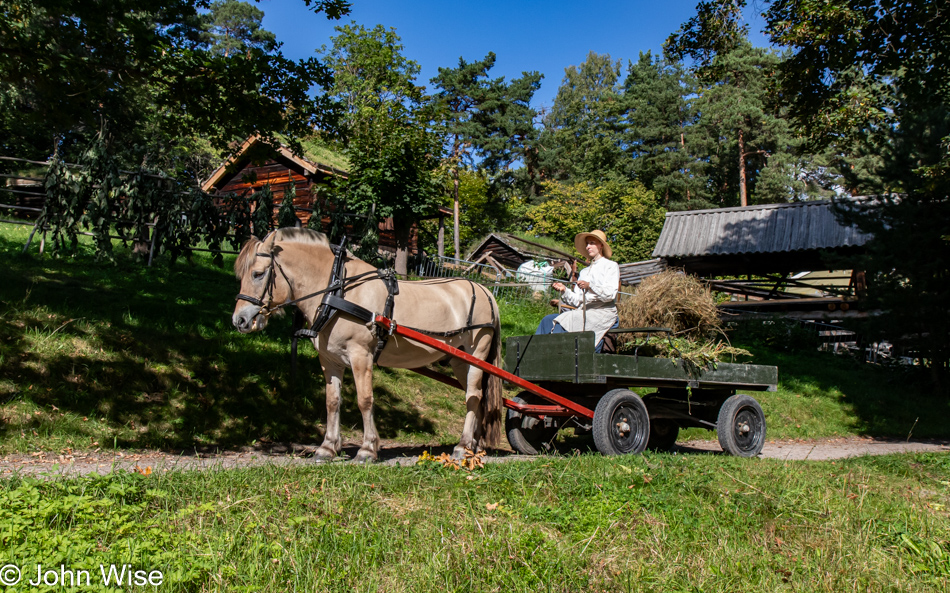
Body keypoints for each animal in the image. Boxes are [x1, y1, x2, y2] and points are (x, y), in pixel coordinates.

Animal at [232, 228, 506, 462]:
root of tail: (486, 291)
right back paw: (474, 445)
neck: (337, 291)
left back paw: (462, 445)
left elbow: (365, 399)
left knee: (473, 396)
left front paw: (367, 449)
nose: (239, 320)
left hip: (477, 354)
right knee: (478, 398)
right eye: (241, 275)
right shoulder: (329, 360)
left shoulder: (360, 355)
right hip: (461, 362)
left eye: (258, 273)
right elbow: (332, 401)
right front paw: (327, 447)